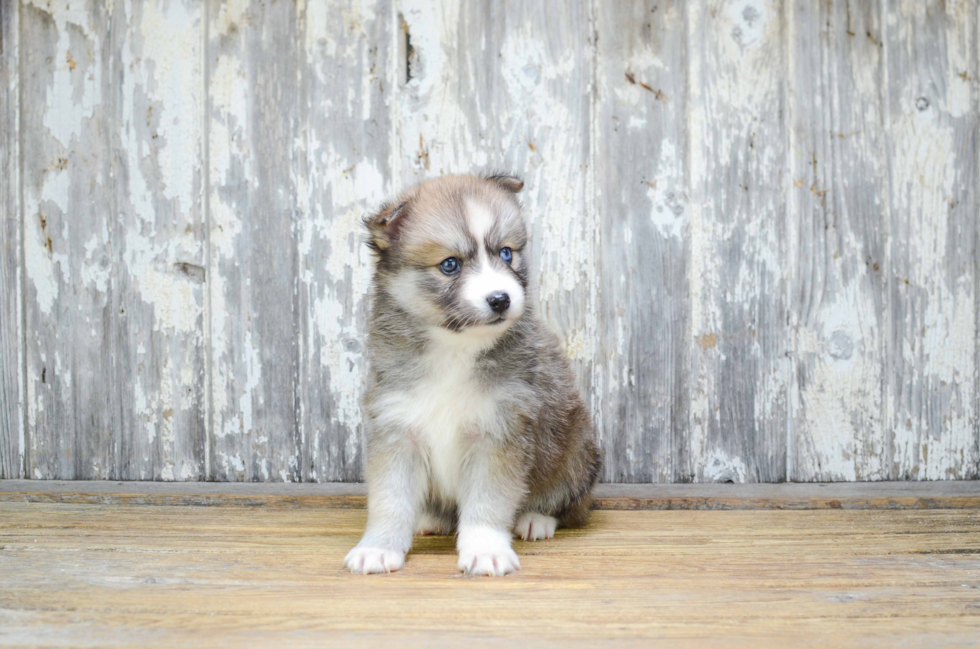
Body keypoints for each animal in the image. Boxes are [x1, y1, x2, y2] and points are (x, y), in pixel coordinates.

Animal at [348, 173, 600, 576]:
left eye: (507, 254)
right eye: (450, 264)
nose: (501, 299)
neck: (454, 347)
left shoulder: (498, 431)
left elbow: (488, 501)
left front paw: (485, 549)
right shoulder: (397, 429)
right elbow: (390, 499)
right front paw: (378, 547)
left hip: (577, 451)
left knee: (570, 503)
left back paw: (536, 519)